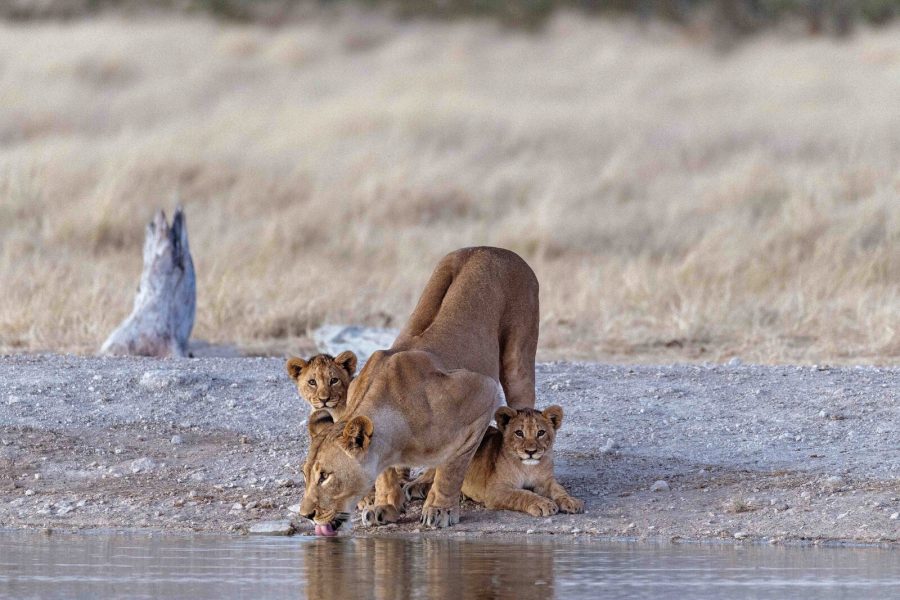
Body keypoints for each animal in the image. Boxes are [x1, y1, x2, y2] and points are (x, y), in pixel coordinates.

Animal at [298, 247, 539, 535]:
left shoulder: (482, 394)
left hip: (518, 358)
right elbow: (386, 472)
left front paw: (440, 509)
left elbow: (452, 467)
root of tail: (495, 249)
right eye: (304, 474)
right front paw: (386, 505)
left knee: (523, 407)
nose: (306, 515)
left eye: (325, 476)